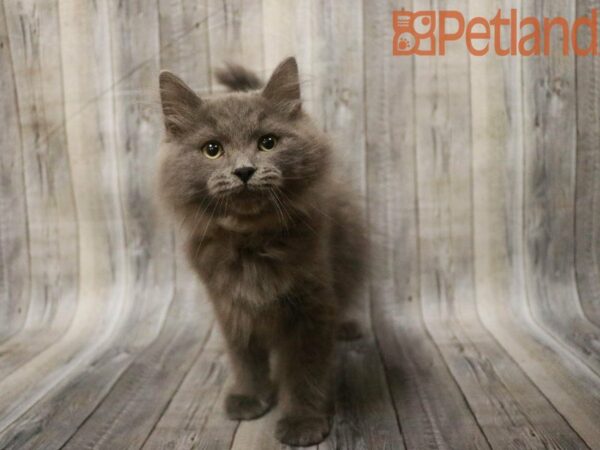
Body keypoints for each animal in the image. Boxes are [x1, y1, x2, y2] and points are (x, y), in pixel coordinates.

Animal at [157, 57, 368, 446]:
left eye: (267, 142)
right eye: (212, 149)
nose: (244, 170)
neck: (251, 243)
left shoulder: (311, 306)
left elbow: (304, 371)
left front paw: (302, 422)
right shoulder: (231, 306)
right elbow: (246, 358)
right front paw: (249, 397)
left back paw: (345, 327)